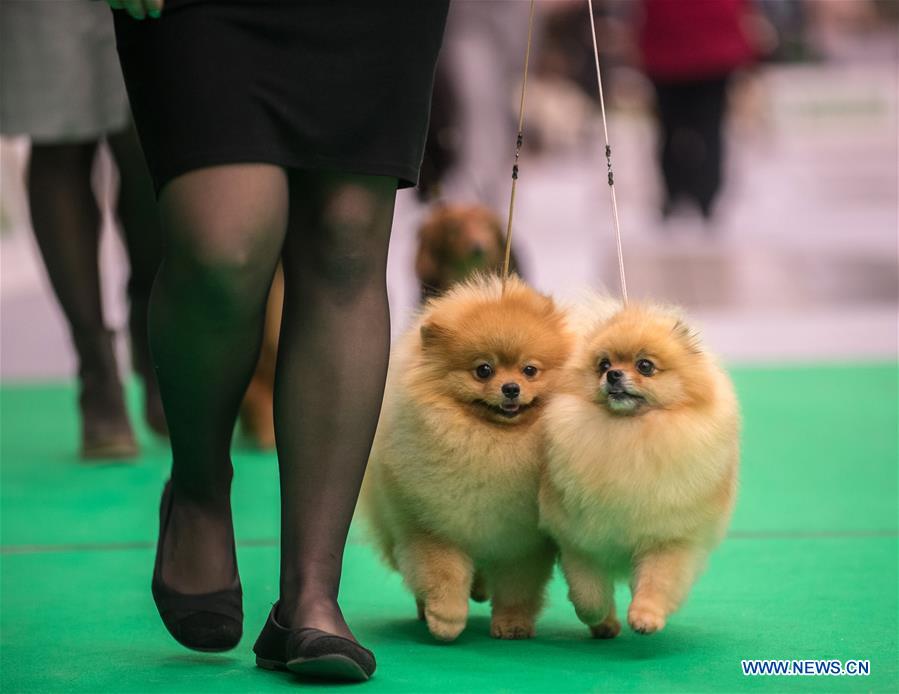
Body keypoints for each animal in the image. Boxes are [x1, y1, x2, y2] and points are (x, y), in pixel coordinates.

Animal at [362, 274, 572, 644]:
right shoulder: (432, 528)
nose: (511, 388)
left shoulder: (520, 544)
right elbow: (443, 576)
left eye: (530, 370)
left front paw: (512, 625)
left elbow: (516, 588)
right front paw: (445, 620)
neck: (493, 446)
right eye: (483, 370)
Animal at [540, 300, 740, 640]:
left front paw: (646, 617)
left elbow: (656, 582)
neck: (630, 435)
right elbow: (588, 595)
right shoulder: (580, 542)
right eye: (603, 364)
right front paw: (601, 618)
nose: (613, 375)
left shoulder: (668, 538)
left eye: (645, 366)